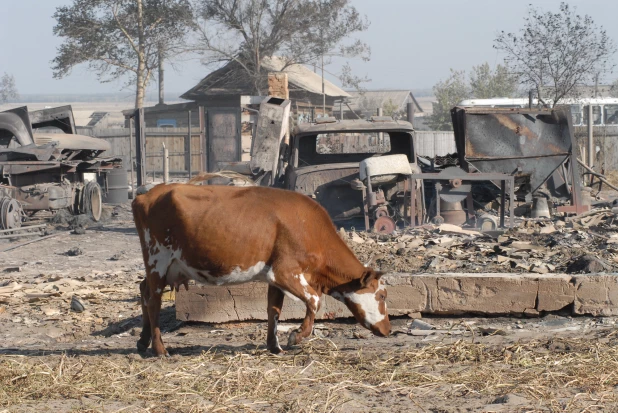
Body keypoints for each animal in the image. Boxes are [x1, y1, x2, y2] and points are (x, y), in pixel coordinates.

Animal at [132, 179, 388, 354]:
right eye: (383, 295)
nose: (389, 329)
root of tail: (148, 195)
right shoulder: (285, 271)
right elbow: (314, 300)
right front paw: (297, 336)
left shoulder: (274, 277)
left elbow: (273, 310)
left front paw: (274, 347)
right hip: (157, 259)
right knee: (153, 300)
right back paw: (159, 349)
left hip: (165, 267)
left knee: (144, 290)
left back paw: (143, 341)